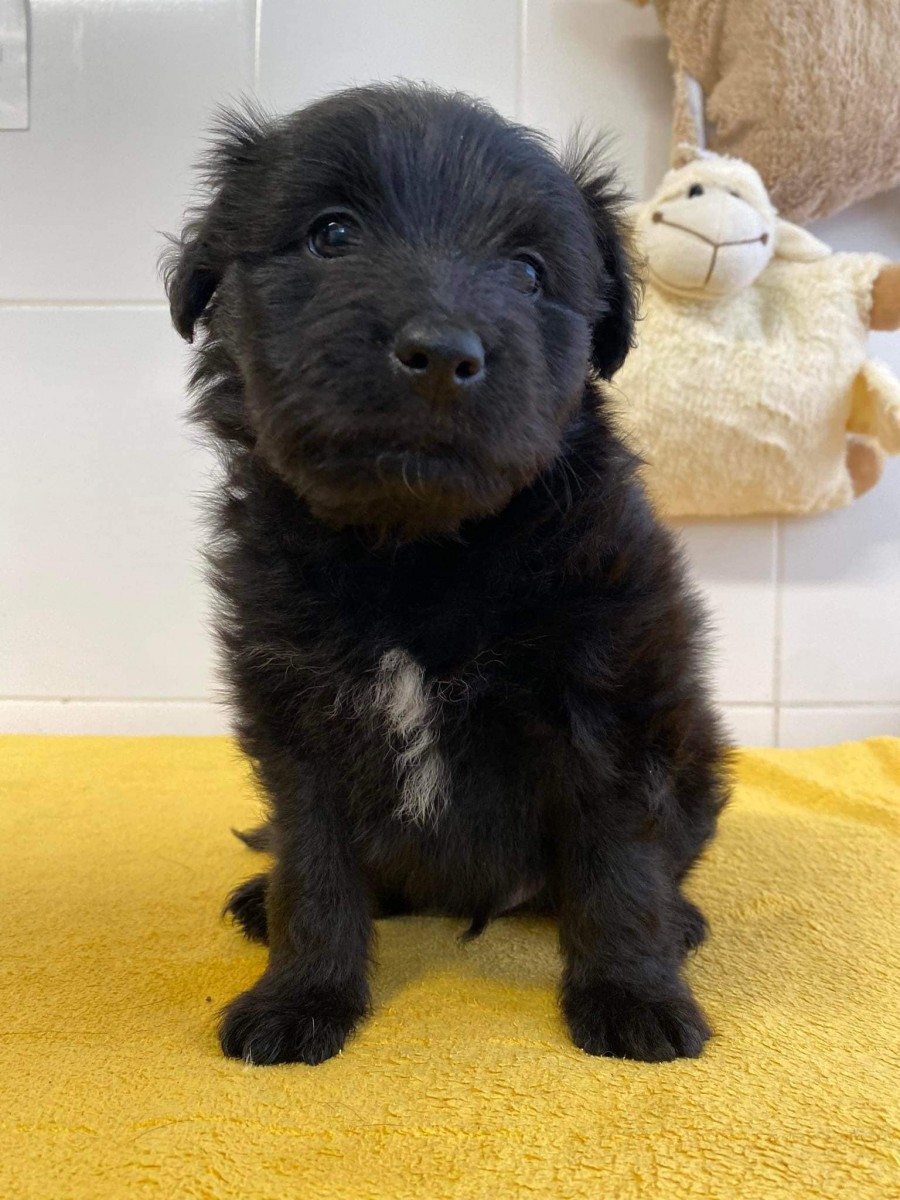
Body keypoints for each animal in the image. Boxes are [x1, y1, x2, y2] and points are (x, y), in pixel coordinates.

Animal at [164, 83, 730, 1066]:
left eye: (530, 275)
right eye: (332, 234)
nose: (439, 354)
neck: (417, 550)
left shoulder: (613, 693)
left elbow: (618, 862)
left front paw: (633, 995)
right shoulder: (297, 713)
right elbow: (313, 865)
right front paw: (301, 995)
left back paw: (681, 921)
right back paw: (257, 904)